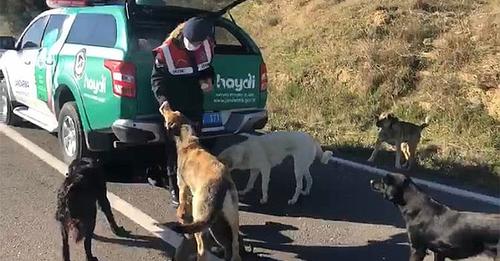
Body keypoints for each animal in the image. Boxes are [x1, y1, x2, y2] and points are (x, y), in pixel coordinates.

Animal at [158, 105, 240, 260]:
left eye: (170, 113)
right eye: (176, 111)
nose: (164, 104)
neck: (189, 142)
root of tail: (222, 183)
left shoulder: (183, 187)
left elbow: (182, 206)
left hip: (201, 217)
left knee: (202, 249)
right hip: (232, 219)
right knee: (234, 247)